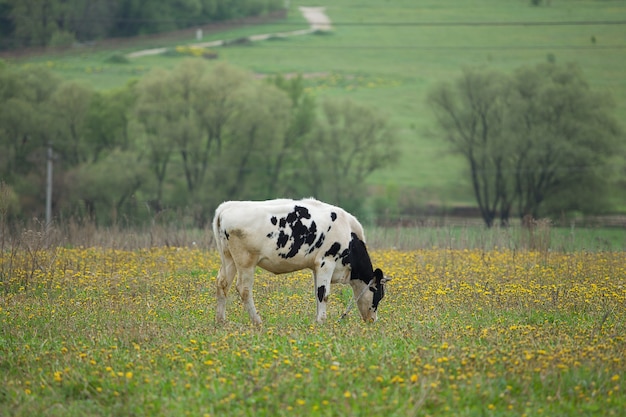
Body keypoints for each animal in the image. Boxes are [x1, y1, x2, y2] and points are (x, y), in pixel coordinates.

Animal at [212, 197, 388, 324]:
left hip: (228, 258)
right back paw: (257, 322)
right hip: (245, 260)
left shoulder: (317, 266)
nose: (373, 320)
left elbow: (317, 293)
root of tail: (226, 207)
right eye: (379, 295)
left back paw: (221, 321)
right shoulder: (326, 261)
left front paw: (318, 320)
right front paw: (322, 321)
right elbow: (323, 294)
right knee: (244, 289)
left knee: (222, 284)